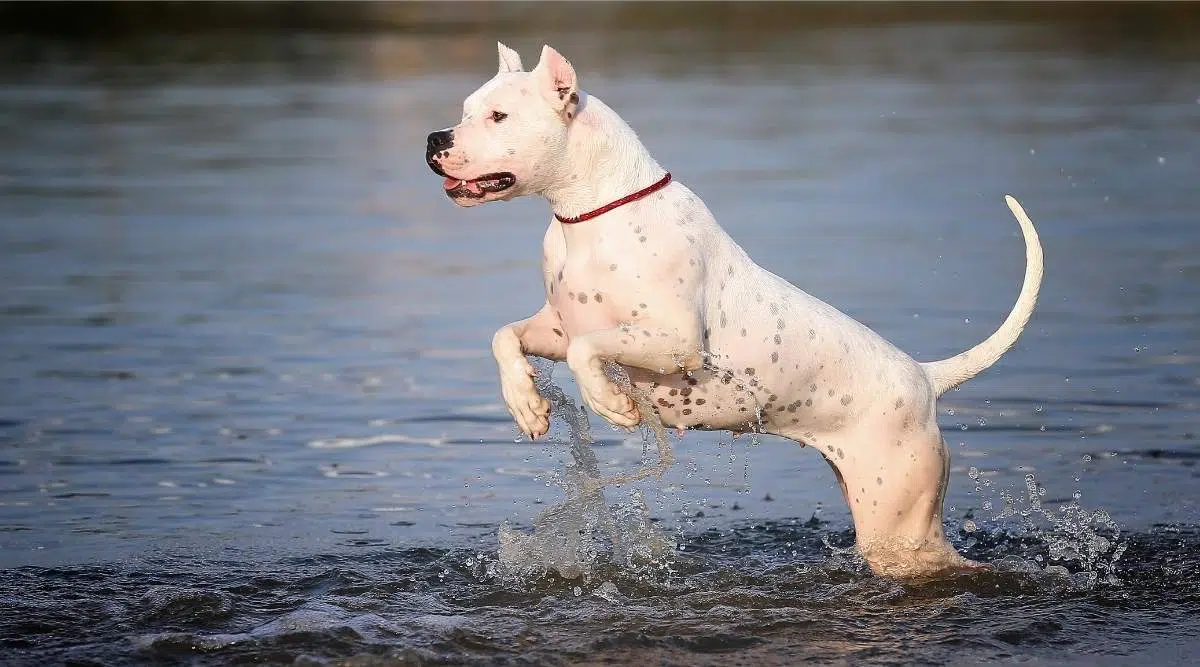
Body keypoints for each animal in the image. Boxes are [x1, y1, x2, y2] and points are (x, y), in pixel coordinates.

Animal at [429, 42, 1041, 578]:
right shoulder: (554, 327)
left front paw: (610, 403)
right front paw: (527, 404)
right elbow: (505, 336)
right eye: (465, 110)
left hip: (901, 527)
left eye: (499, 116)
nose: (435, 137)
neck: (592, 214)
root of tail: (924, 377)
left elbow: (588, 351)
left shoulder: (674, 341)